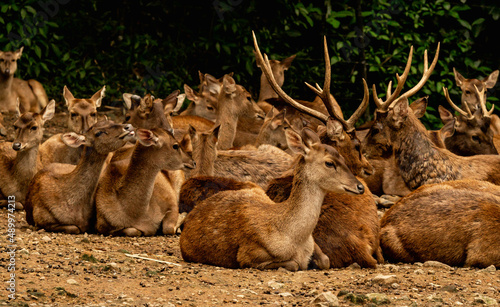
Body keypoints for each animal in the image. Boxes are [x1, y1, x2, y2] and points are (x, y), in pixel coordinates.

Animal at [180, 127, 364, 272]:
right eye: (329, 163)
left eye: (343, 158)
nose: (360, 186)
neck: (294, 238)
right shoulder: (248, 254)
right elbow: (294, 264)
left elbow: (326, 260)